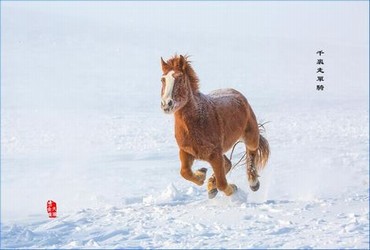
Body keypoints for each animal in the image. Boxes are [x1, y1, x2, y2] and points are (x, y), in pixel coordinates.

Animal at [159, 55, 268, 199]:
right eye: (163, 79)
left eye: (180, 78)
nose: (166, 104)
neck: (196, 121)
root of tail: (236, 93)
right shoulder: (186, 151)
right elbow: (185, 172)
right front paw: (201, 175)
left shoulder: (215, 154)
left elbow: (222, 183)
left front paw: (233, 190)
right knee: (228, 163)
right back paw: (211, 186)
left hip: (251, 136)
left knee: (251, 153)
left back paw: (253, 183)